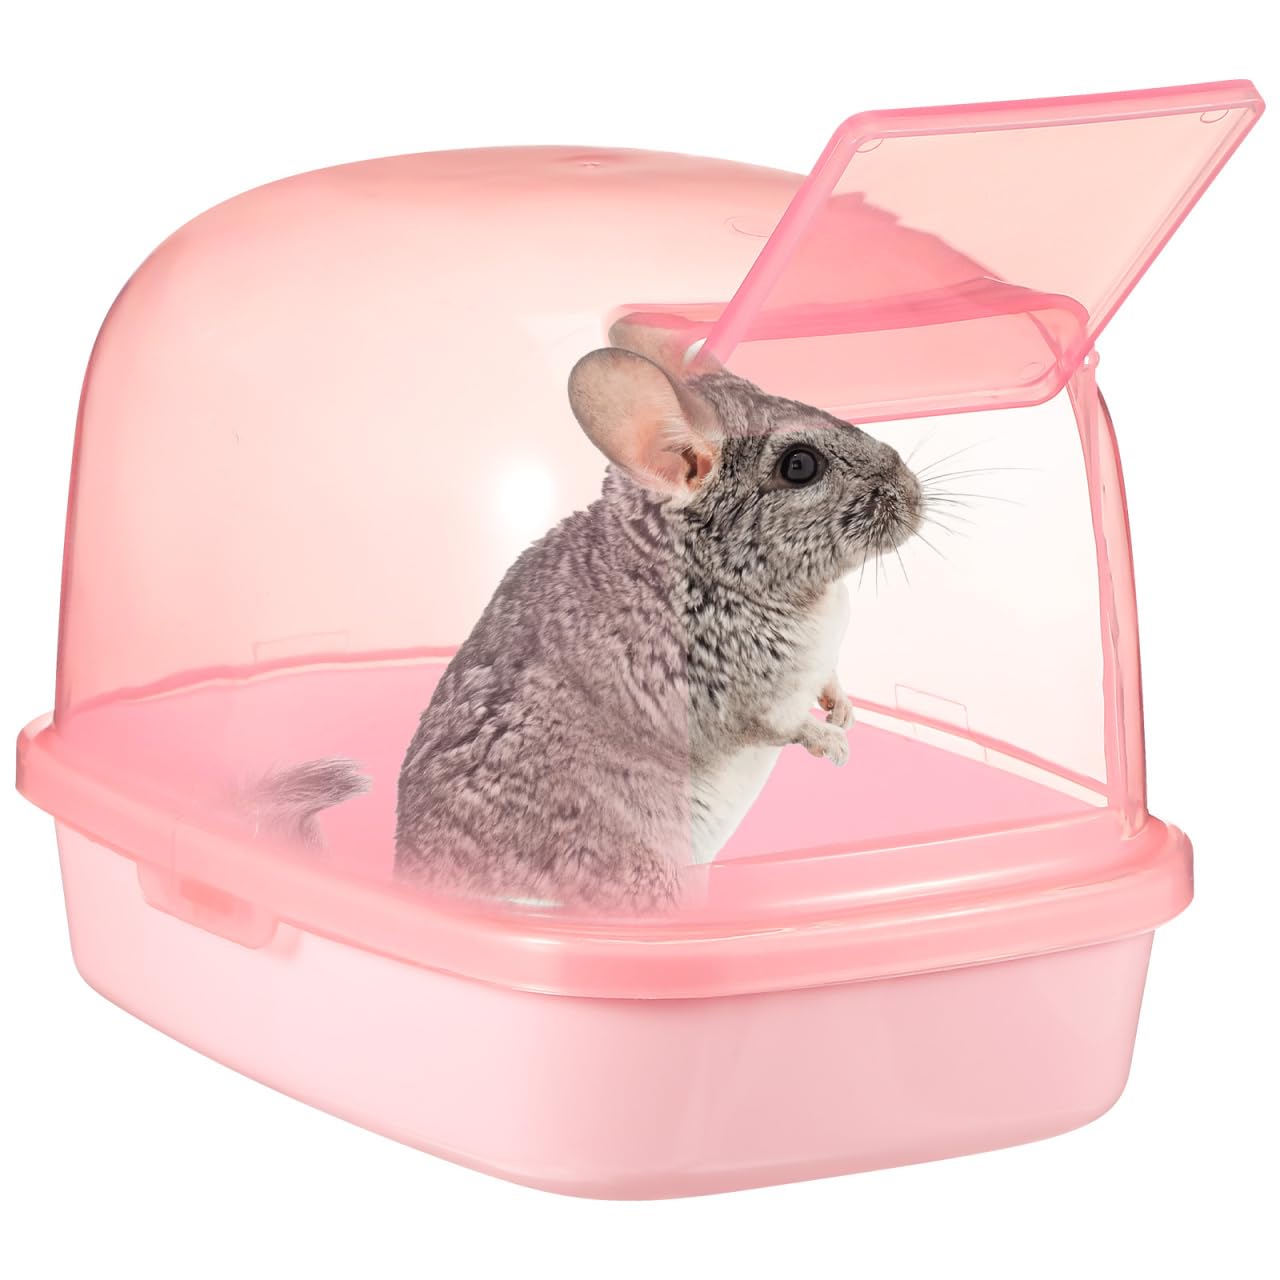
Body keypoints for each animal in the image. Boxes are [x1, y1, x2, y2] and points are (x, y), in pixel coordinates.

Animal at [391, 323, 922, 911]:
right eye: (800, 465)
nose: (916, 494)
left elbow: (830, 679)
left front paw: (845, 711)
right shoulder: (732, 696)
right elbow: (784, 725)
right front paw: (836, 745)